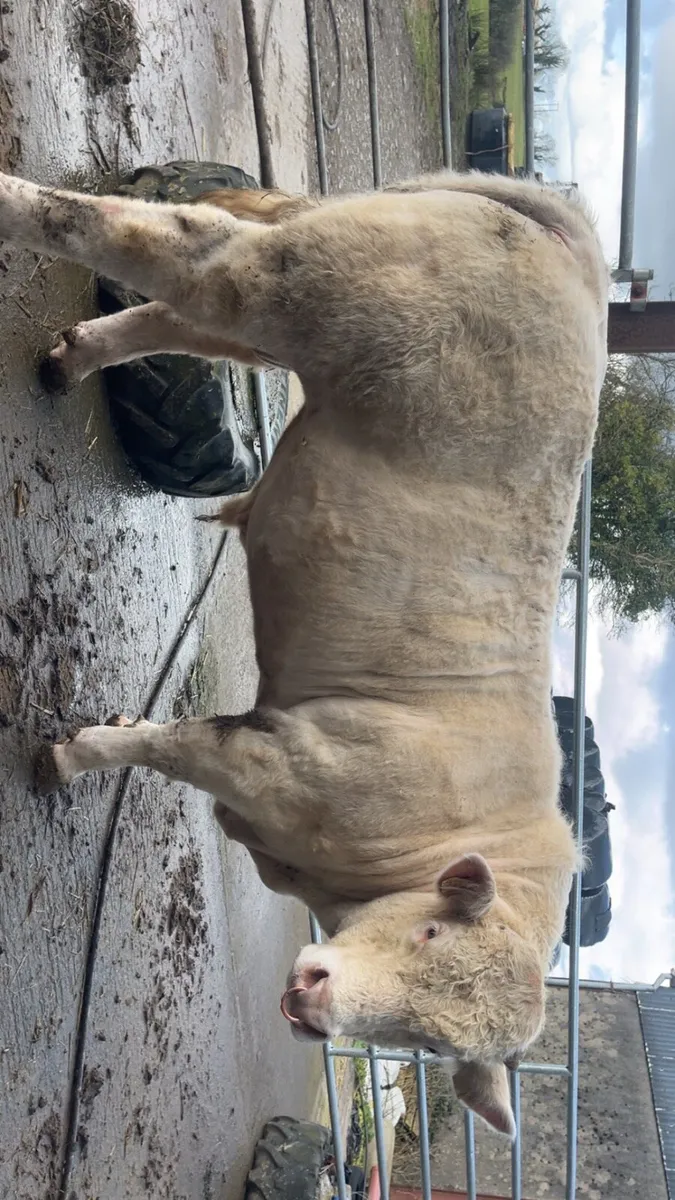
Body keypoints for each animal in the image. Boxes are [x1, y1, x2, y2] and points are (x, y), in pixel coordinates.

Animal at [0, 167, 608, 1136]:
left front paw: (101, 731)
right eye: (428, 931)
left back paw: (70, 358)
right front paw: (68, 755)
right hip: (318, 284)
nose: (315, 1003)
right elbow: (171, 745)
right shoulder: (281, 760)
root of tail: (567, 240)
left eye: (422, 1041)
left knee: (182, 318)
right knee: (152, 241)